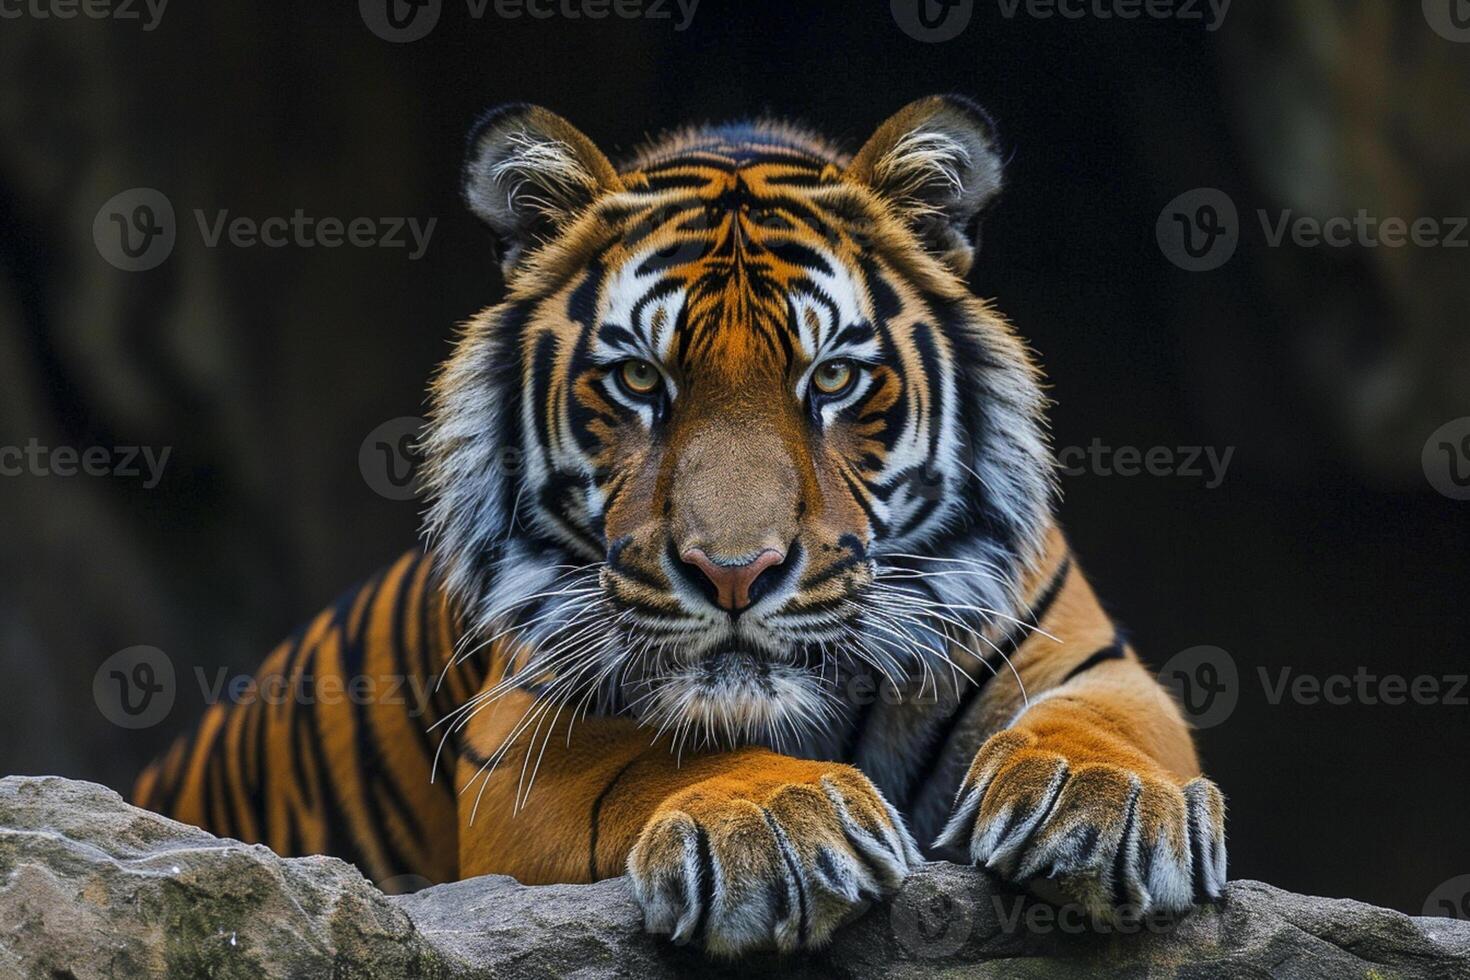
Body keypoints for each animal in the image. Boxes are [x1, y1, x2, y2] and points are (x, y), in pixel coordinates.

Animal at [132, 95, 1223, 952]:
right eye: (637, 380)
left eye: (833, 378)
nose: (736, 573)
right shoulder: (522, 736)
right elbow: (665, 751)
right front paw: (776, 820)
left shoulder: (1081, 653)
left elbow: (1111, 717)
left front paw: (1103, 803)